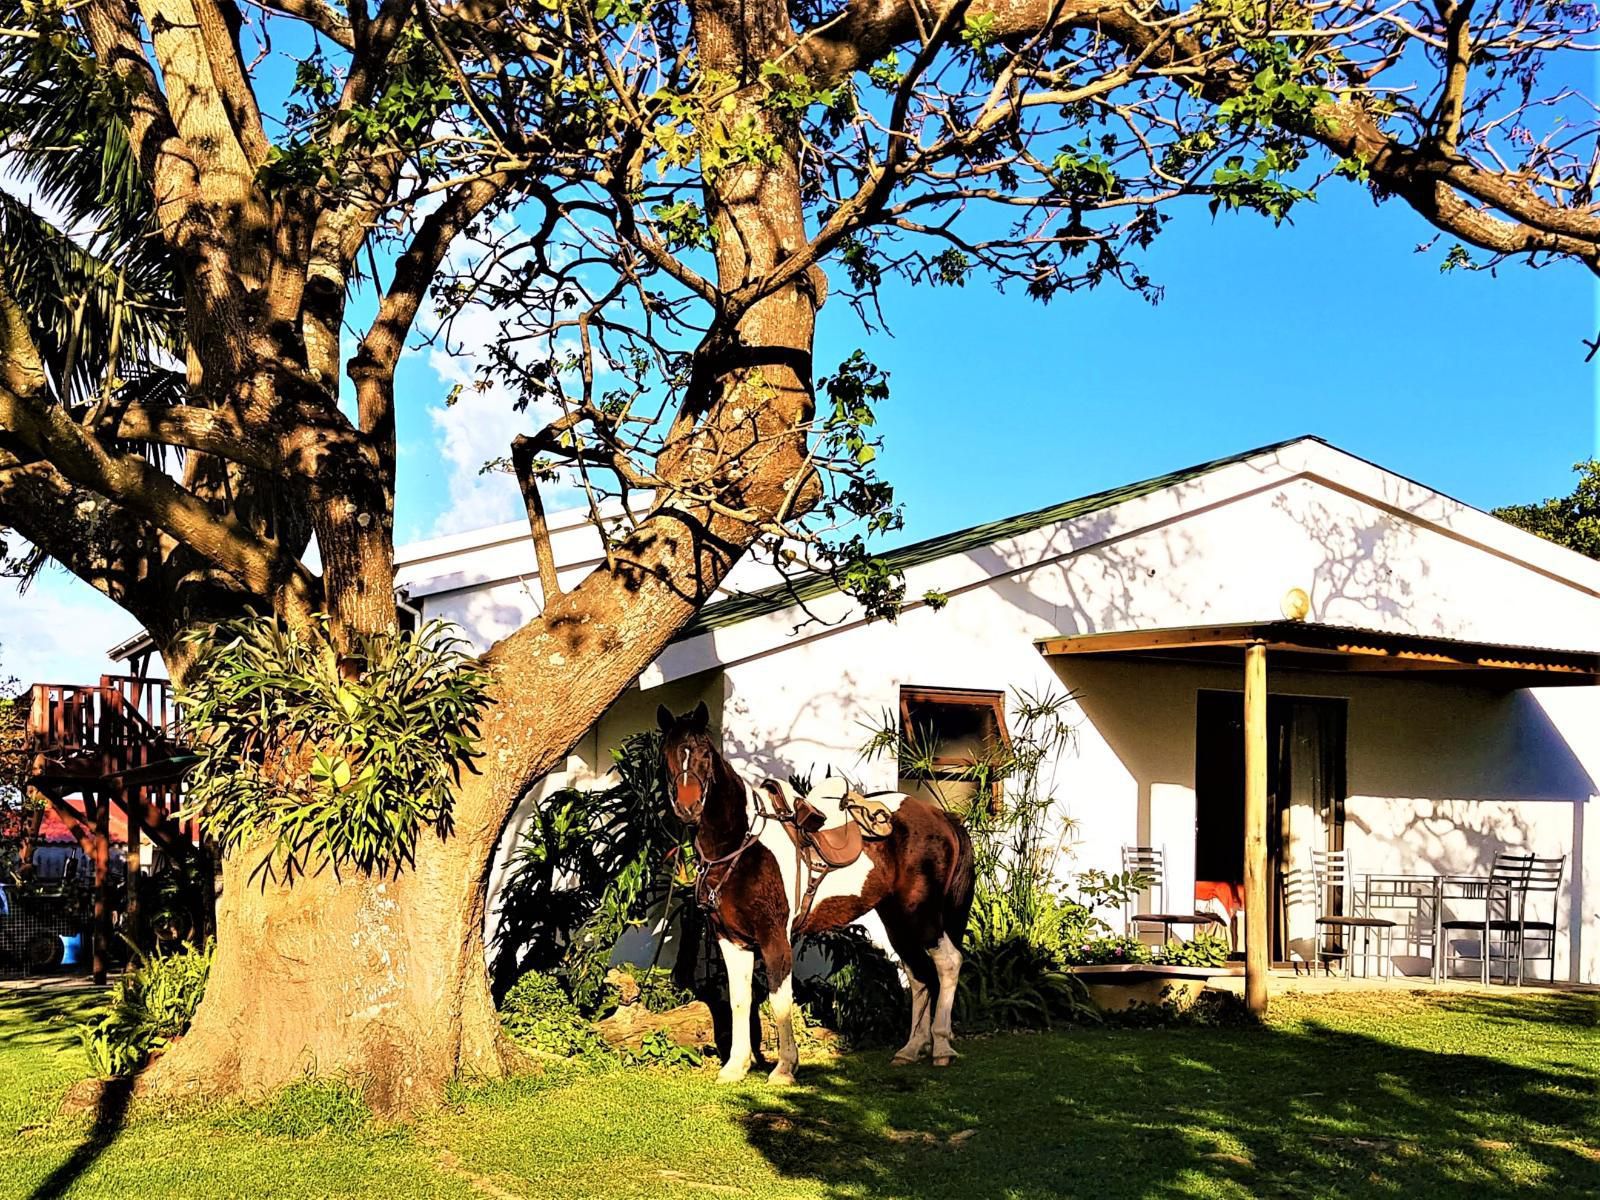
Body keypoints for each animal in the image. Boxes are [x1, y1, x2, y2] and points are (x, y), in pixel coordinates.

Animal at [659, 700, 972, 1088]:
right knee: (918, 975)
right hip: (897, 921)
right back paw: (910, 1049)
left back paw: (941, 1047)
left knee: (947, 963)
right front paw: (735, 1067)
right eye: (667, 753)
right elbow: (739, 1001)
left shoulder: (775, 938)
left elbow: (780, 1002)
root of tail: (940, 817)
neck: (740, 845)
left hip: (923, 915)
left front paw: (784, 1068)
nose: (688, 808)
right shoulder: (731, 940)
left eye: (703, 752)